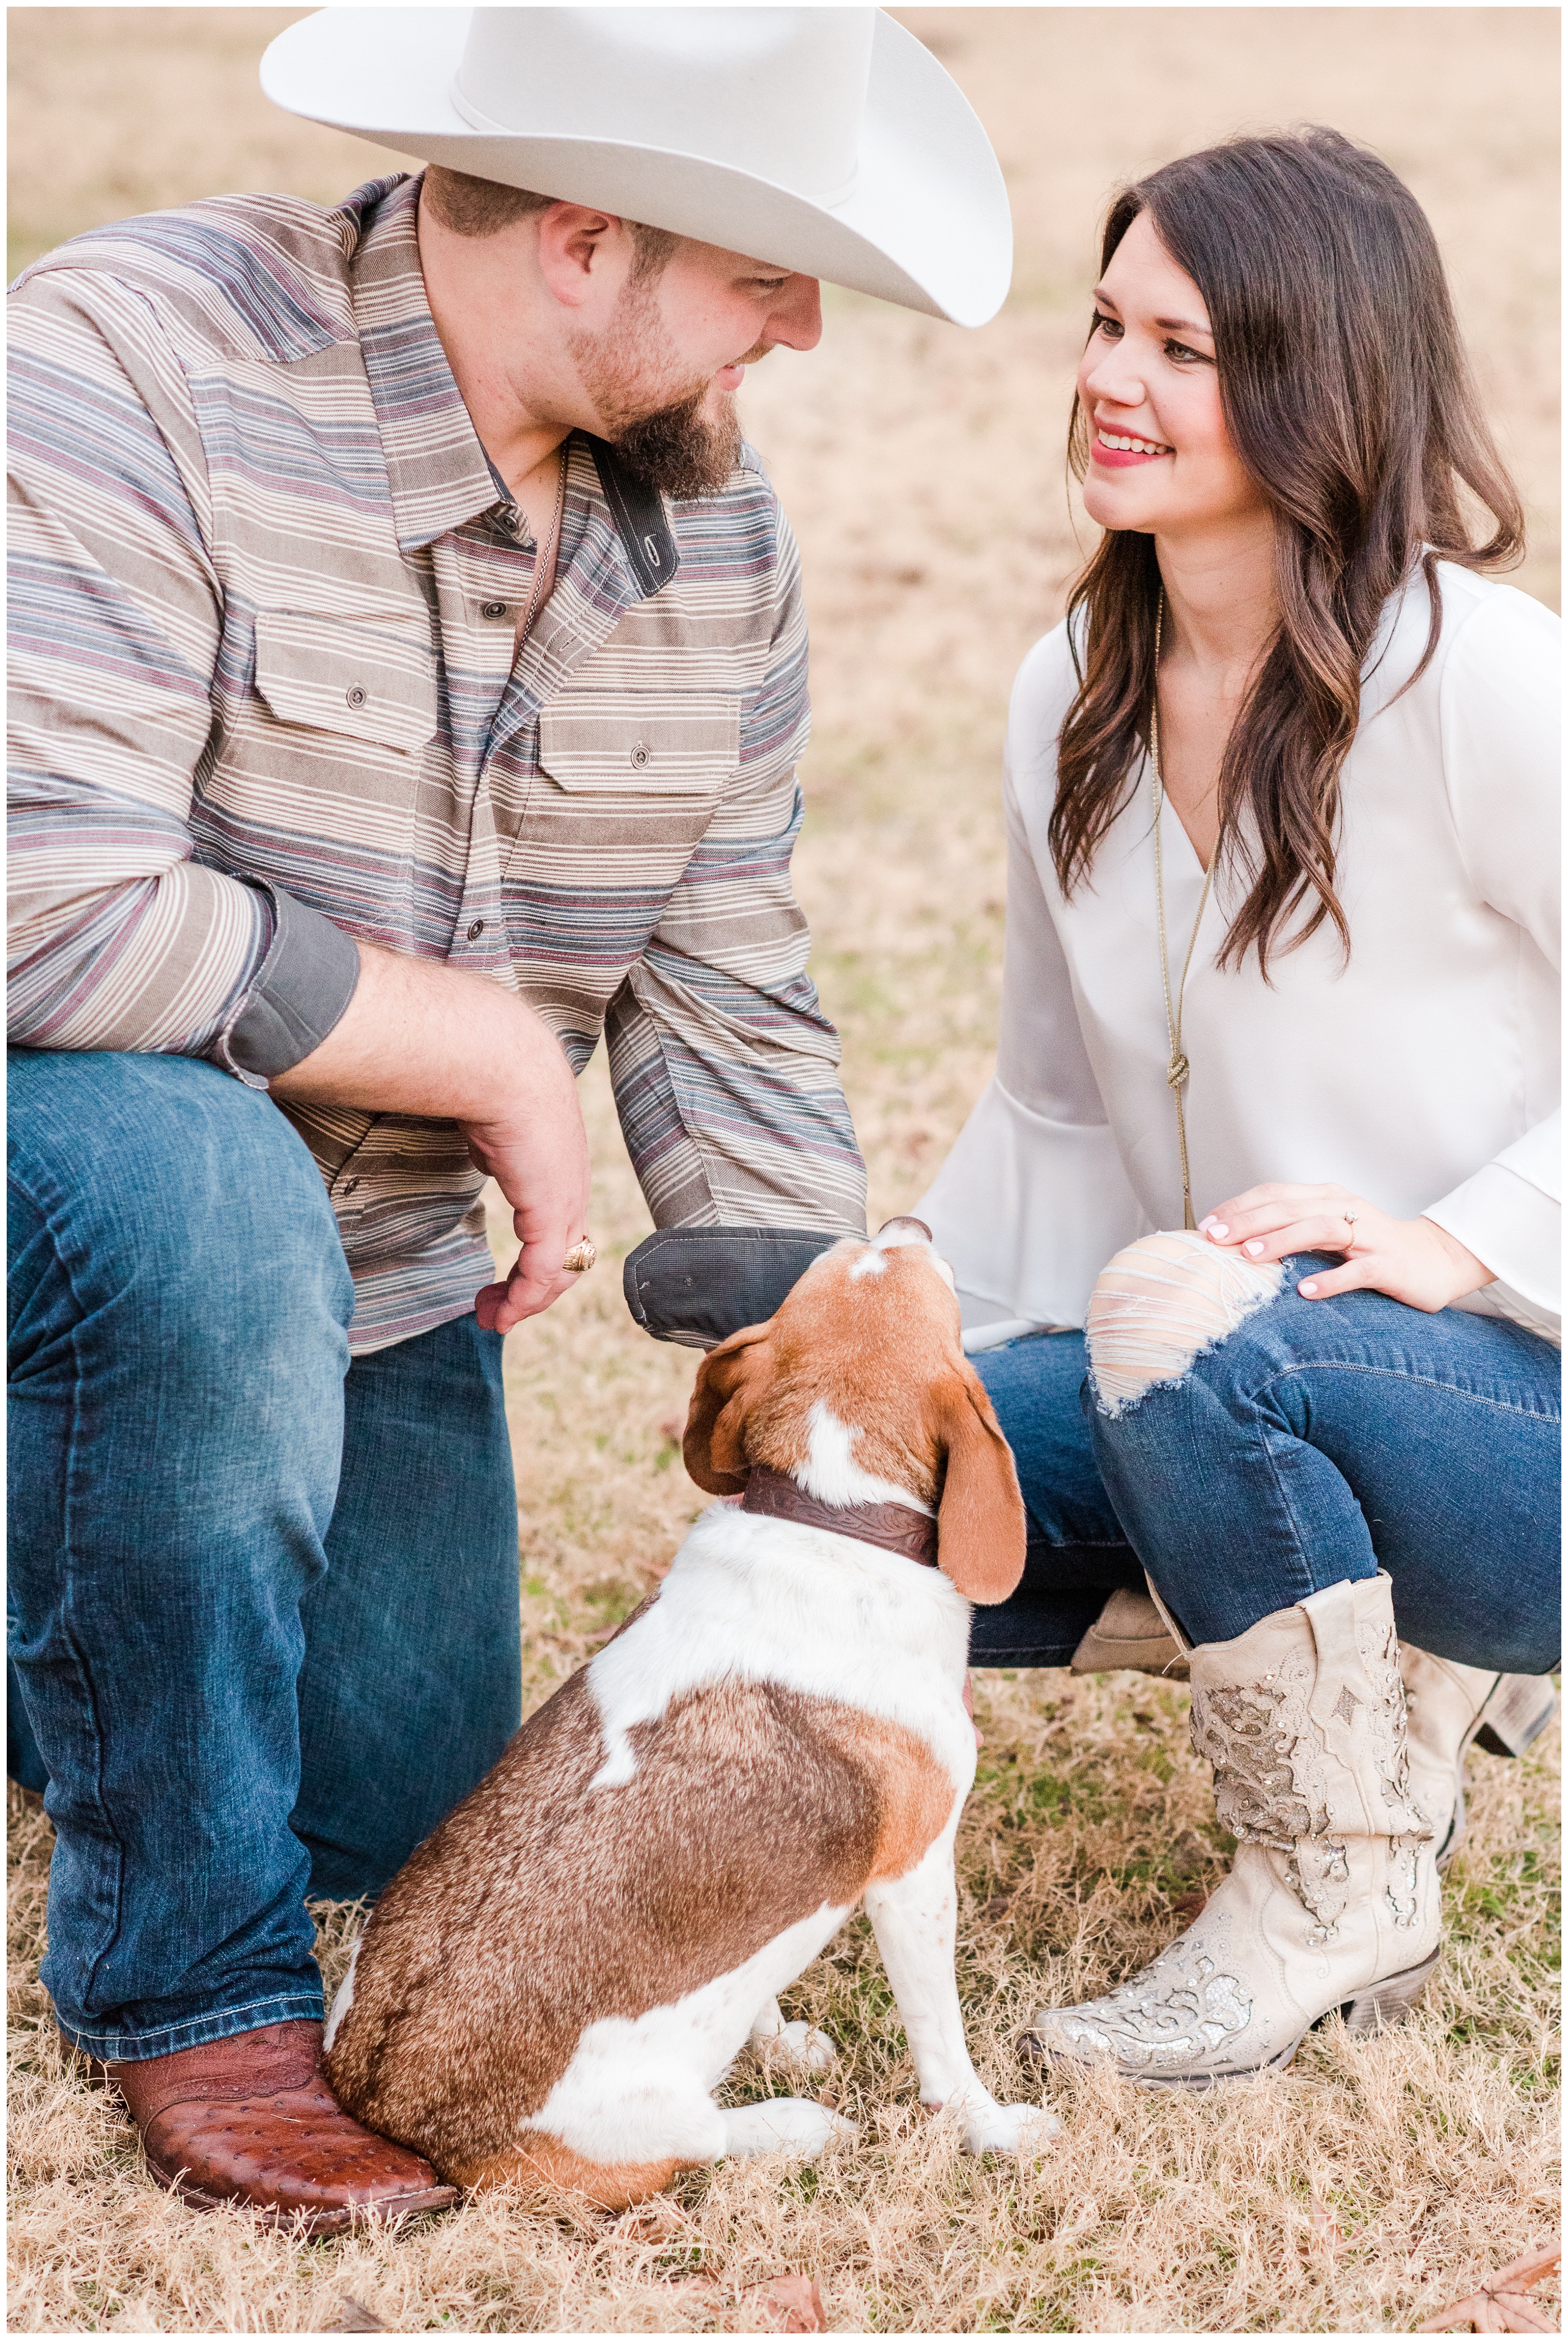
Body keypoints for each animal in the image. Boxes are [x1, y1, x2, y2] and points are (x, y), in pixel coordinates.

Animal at [323, 1216, 1058, 2199]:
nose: (910, 1223)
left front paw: (774, 2035)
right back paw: (794, 2124)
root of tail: (390, 2105)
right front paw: (992, 2128)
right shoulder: (915, 1872)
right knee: (708, 2141)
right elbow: (943, 2043)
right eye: (926, 1277)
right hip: (654, 2126)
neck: (825, 1514)